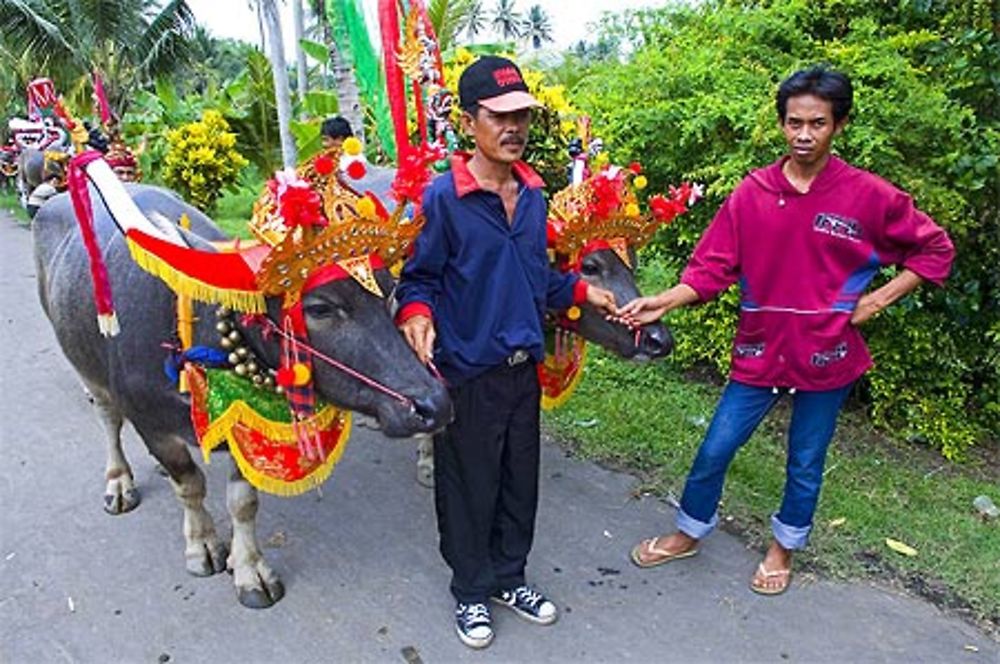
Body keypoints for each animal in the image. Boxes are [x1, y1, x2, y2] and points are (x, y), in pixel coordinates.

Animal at [31, 182, 454, 608]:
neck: (192, 332)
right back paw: (119, 483)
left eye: (390, 291)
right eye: (320, 307)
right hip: (86, 368)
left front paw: (249, 568)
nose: (433, 405)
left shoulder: (241, 425)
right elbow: (190, 485)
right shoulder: (153, 425)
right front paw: (203, 546)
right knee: (108, 418)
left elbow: (243, 501)